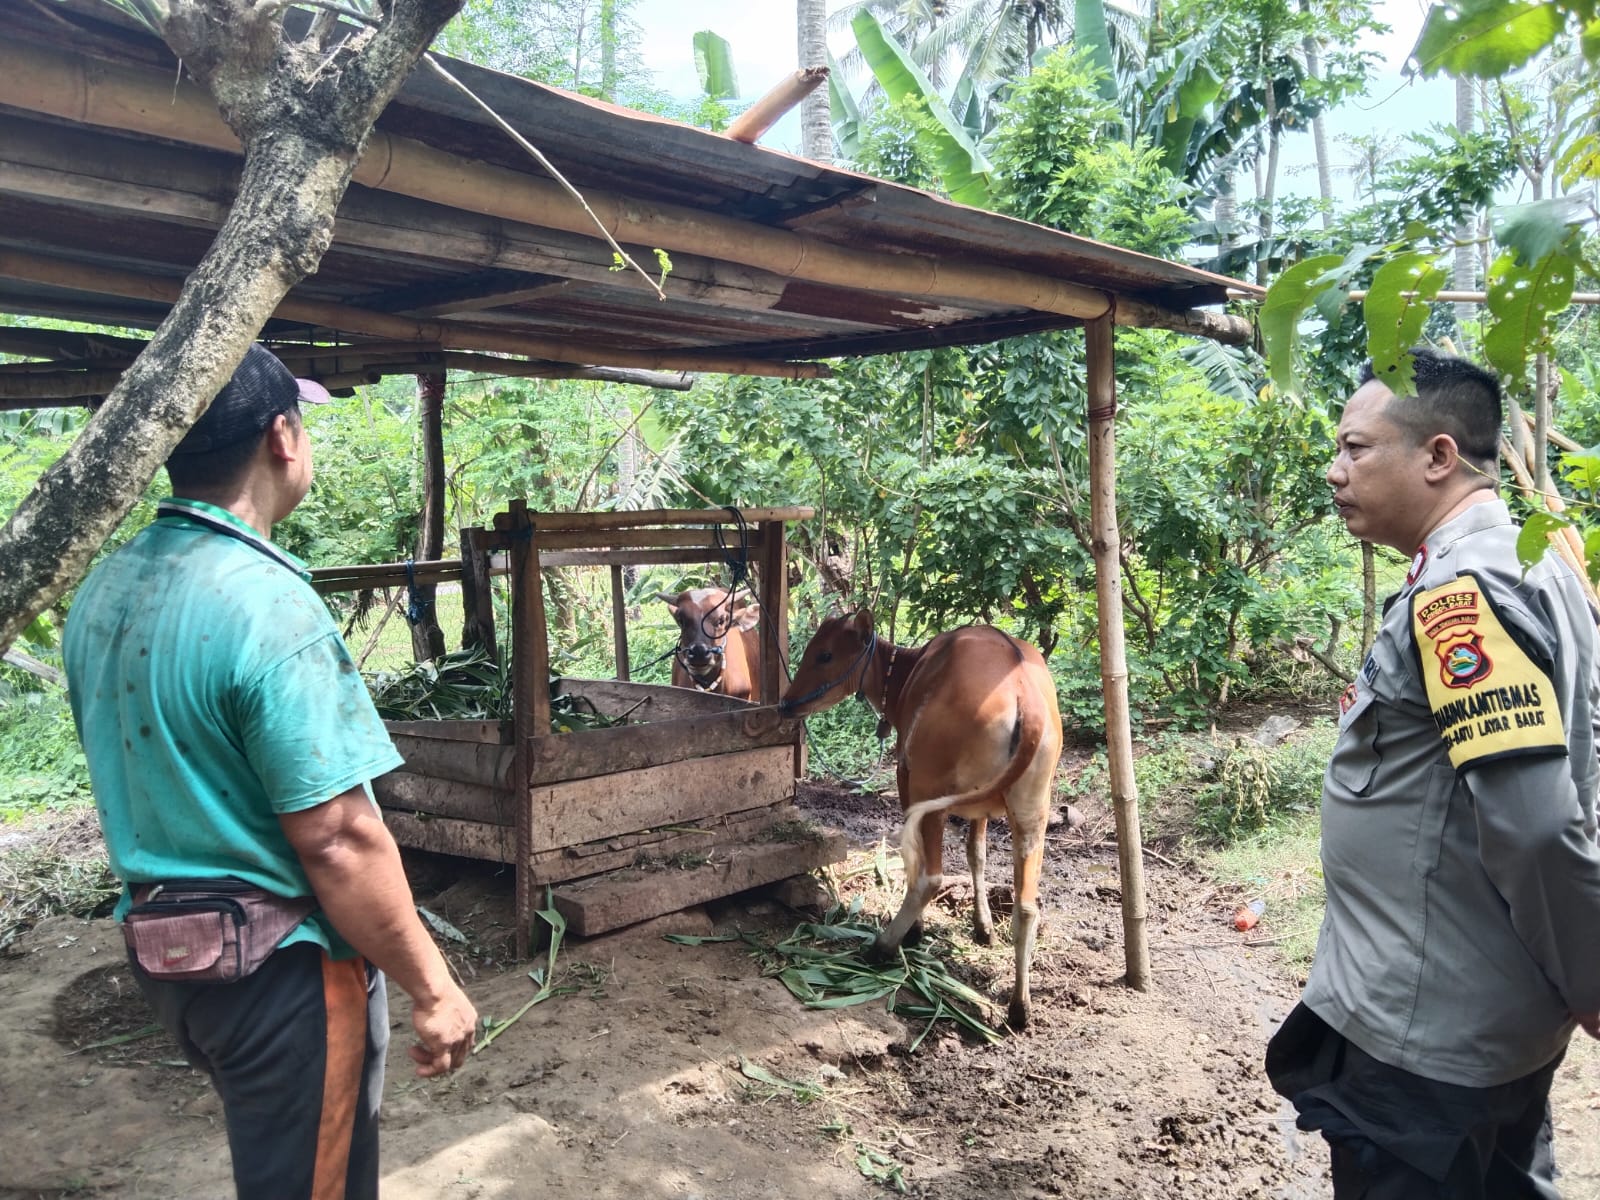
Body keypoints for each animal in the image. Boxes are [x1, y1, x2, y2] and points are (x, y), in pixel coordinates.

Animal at [777, 614, 1062, 1030]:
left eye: (824, 654)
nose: (785, 703)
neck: (907, 673)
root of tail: (1027, 700)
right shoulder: (981, 811)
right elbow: (976, 854)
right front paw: (983, 927)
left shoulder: (905, 775)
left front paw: (918, 930)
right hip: (1032, 809)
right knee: (1026, 907)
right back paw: (1019, 1007)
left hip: (932, 789)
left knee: (931, 877)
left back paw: (884, 946)